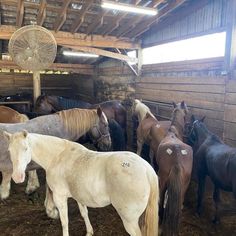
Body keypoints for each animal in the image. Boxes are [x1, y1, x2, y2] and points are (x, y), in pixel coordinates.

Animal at [5, 131, 159, 236]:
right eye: (9, 151)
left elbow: (64, 221)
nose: (17, 177)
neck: (58, 156)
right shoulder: (79, 196)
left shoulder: (59, 197)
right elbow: (84, 213)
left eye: (26, 148)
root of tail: (146, 168)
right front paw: (89, 231)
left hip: (130, 220)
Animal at [156, 101, 193, 236]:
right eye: (186, 111)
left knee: (161, 202)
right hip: (184, 186)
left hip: (162, 181)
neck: (173, 133)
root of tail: (176, 154)